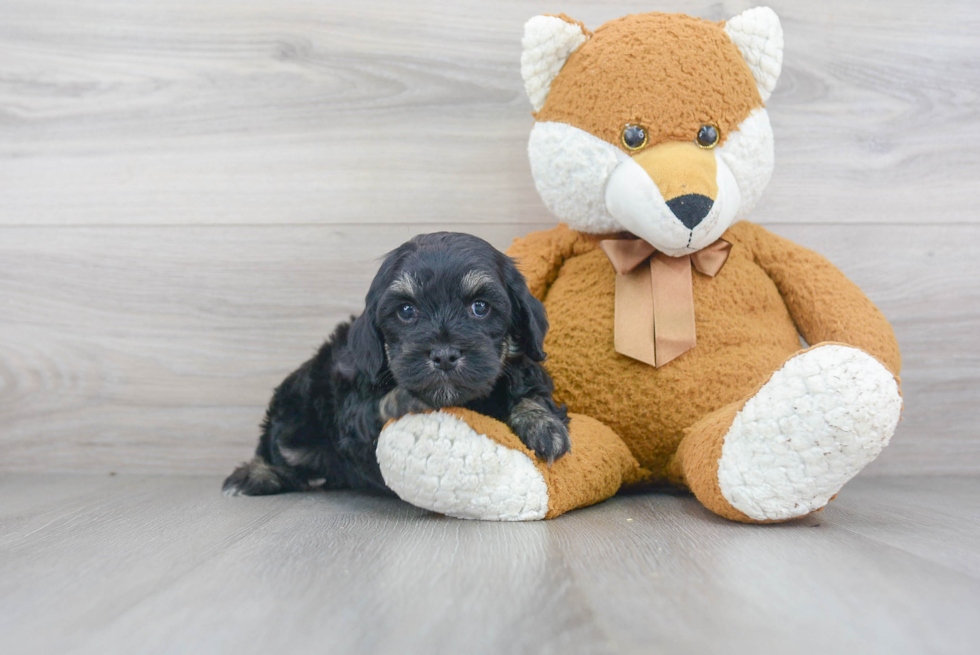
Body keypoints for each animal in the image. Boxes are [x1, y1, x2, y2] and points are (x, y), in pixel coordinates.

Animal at [224, 232, 568, 498]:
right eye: (406, 311)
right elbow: (371, 409)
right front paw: (407, 397)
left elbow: (530, 392)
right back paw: (256, 475)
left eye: (480, 307)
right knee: (277, 446)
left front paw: (543, 426)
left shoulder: (524, 369)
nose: (444, 355)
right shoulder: (354, 400)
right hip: (297, 408)